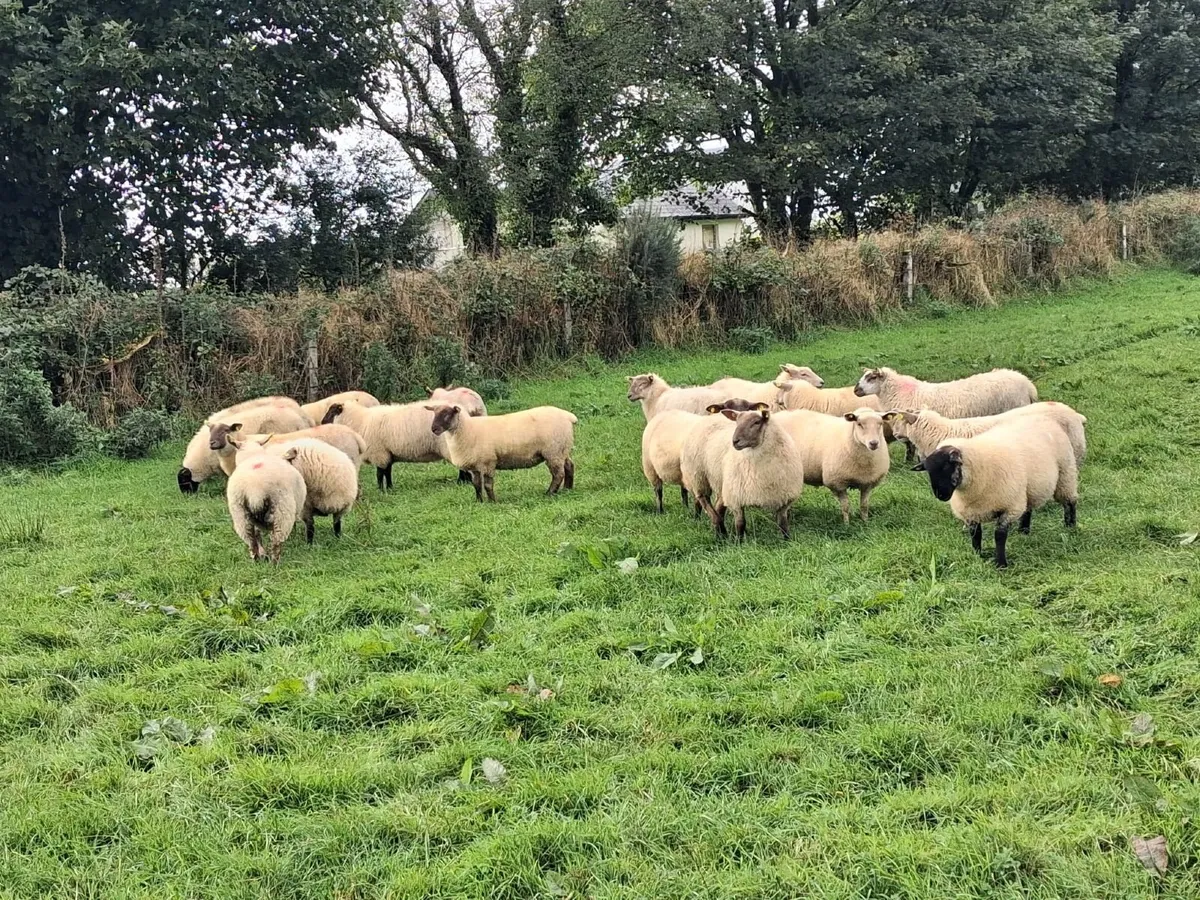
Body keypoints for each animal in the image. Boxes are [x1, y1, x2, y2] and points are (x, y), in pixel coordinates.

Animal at [324, 399, 463, 490]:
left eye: (331, 412)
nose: (322, 422)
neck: (361, 421)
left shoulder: (378, 453)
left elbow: (380, 474)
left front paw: (380, 490)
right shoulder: (387, 453)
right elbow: (387, 472)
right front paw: (390, 488)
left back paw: (461, 482)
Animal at [428, 404, 577, 502]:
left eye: (447, 414)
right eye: (434, 414)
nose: (433, 429)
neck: (467, 430)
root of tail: (568, 416)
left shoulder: (488, 462)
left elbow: (488, 485)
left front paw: (493, 502)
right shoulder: (475, 466)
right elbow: (476, 484)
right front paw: (479, 501)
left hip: (553, 451)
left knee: (558, 474)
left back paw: (550, 493)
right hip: (562, 449)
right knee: (569, 466)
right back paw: (567, 489)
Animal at [706, 407, 805, 540]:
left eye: (756, 422)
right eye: (737, 422)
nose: (735, 441)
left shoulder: (784, 499)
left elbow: (783, 523)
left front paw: (787, 540)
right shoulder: (736, 498)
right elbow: (740, 523)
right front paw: (739, 541)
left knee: (718, 507)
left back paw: (721, 533)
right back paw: (720, 534)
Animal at [921, 418, 1078, 568]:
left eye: (947, 466)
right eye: (929, 471)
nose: (940, 495)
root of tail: (1044, 418)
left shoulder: (1009, 508)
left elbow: (999, 536)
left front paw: (1001, 564)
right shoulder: (971, 513)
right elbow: (976, 535)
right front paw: (977, 556)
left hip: (1066, 474)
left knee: (1070, 502)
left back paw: (1070, 527)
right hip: (1029, 488)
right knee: (1028, 508)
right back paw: (1023, 531)